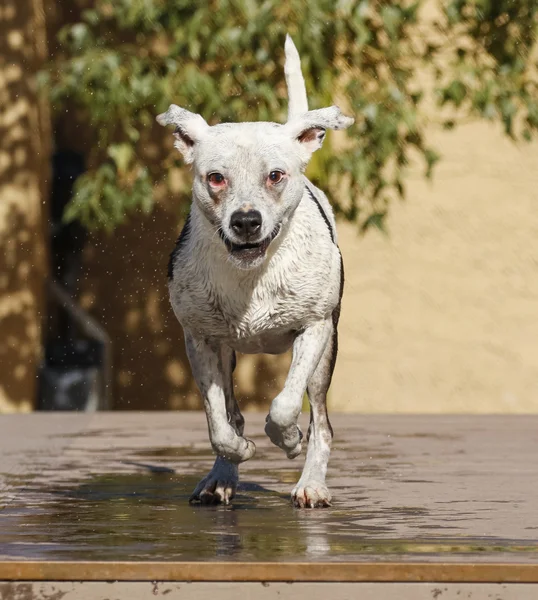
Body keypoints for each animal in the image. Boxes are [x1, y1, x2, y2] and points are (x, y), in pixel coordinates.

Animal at [157, 35, 354, 508]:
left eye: (275, 175)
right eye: (215, 177)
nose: (246, 221)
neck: (252, 276)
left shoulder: (315, 327)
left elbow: (284, 405)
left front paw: (288, 439)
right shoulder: (200, 339)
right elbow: (219, 422)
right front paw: (238, 451)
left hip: (327, 355)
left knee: (321, 421)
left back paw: (311, 482)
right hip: (228, 352)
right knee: (230, 412)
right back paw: (221, 476)